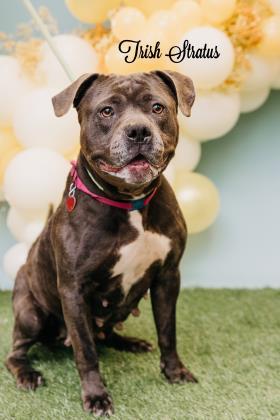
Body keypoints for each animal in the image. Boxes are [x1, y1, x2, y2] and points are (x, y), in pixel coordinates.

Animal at [5, 69, 196, 416]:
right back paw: (27, 373)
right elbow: (86, 352)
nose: (138, 131)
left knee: (105, 335)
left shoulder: (168, 277)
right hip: (31, 314)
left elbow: (167, 331)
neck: (131, 202)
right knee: (17, 352)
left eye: (157, 107)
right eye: (107, 111)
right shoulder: (74, 291)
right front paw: (96, 396)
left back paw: (131, 342)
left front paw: (174, 371)